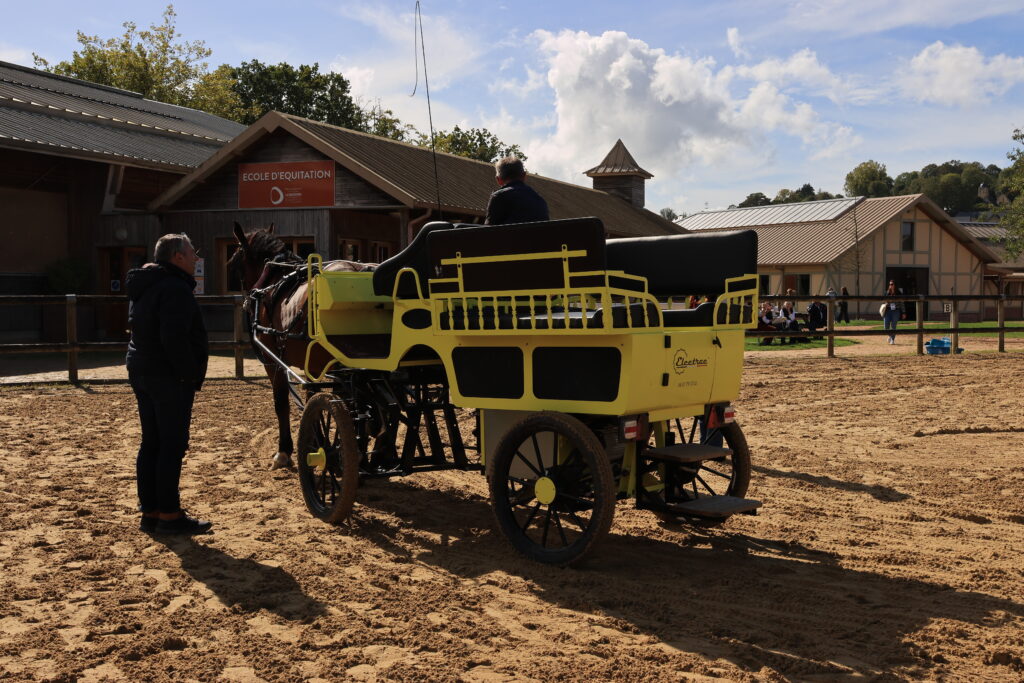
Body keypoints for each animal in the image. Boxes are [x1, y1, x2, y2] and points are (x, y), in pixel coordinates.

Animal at [230, 224, 374, 471]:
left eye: (237, 257)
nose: (247, 301)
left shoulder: (274, 362)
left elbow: (282, 403)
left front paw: (285, 451)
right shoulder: (314, 366)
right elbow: (311, 398)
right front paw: (315, 441)